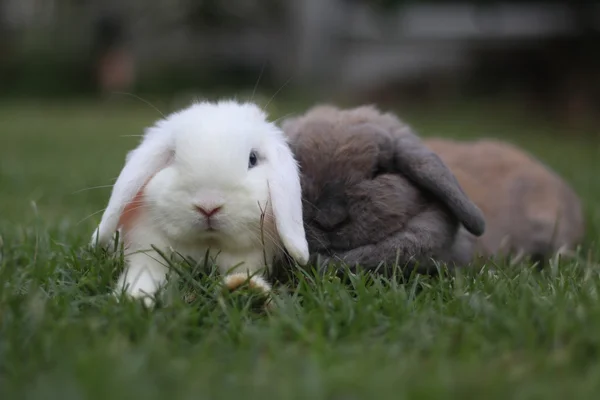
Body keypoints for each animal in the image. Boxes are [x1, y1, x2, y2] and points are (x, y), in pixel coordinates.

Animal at [92, 100, 310, 306]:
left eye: (253, 159)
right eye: (172, 156)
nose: (208, 206)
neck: (208, 243)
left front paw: (244, 287)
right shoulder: (147, 254)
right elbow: (144, 274)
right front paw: (134, 298)